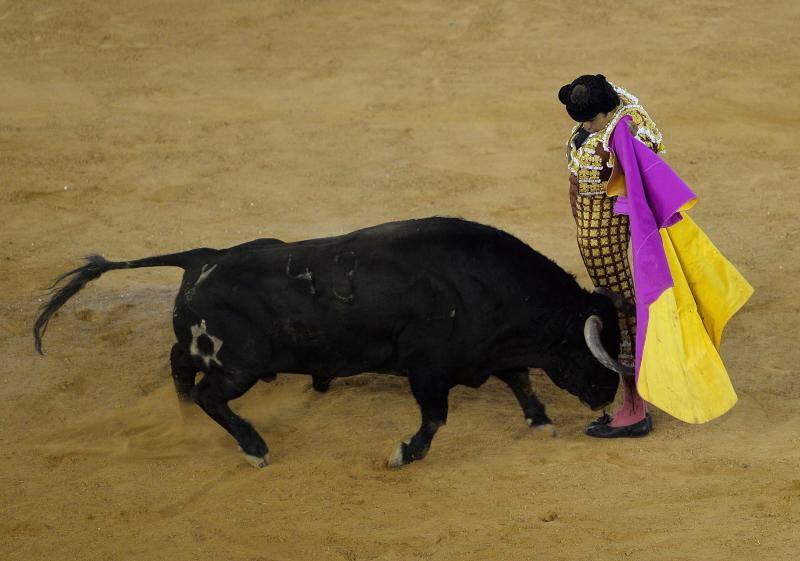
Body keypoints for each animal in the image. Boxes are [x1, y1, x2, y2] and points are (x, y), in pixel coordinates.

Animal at [36, 217, 624, 466]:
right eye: (590, 351)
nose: (606, 399)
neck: (488, 285)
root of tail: (201, 256)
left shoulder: (488, 353)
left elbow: (521, 380)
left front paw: (541, 422)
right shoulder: (429, 370)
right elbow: (435, 418)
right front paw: (403, 454)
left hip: (210, 349)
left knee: (180, 364)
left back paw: (181, 418)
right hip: (240, 364)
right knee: (208, 393)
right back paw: (254, 448)